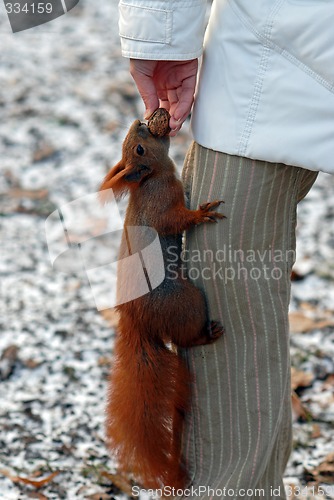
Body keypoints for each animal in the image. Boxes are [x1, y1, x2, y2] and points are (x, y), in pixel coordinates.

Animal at [99, 118, 224, 488]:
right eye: (139, 149)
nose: (141, 121)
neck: (152, 179)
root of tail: (139, 321)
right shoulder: (162, 210)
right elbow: (176, 220)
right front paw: (200, 215)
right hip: (188, 302)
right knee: (186, 338)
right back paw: (206, 335)